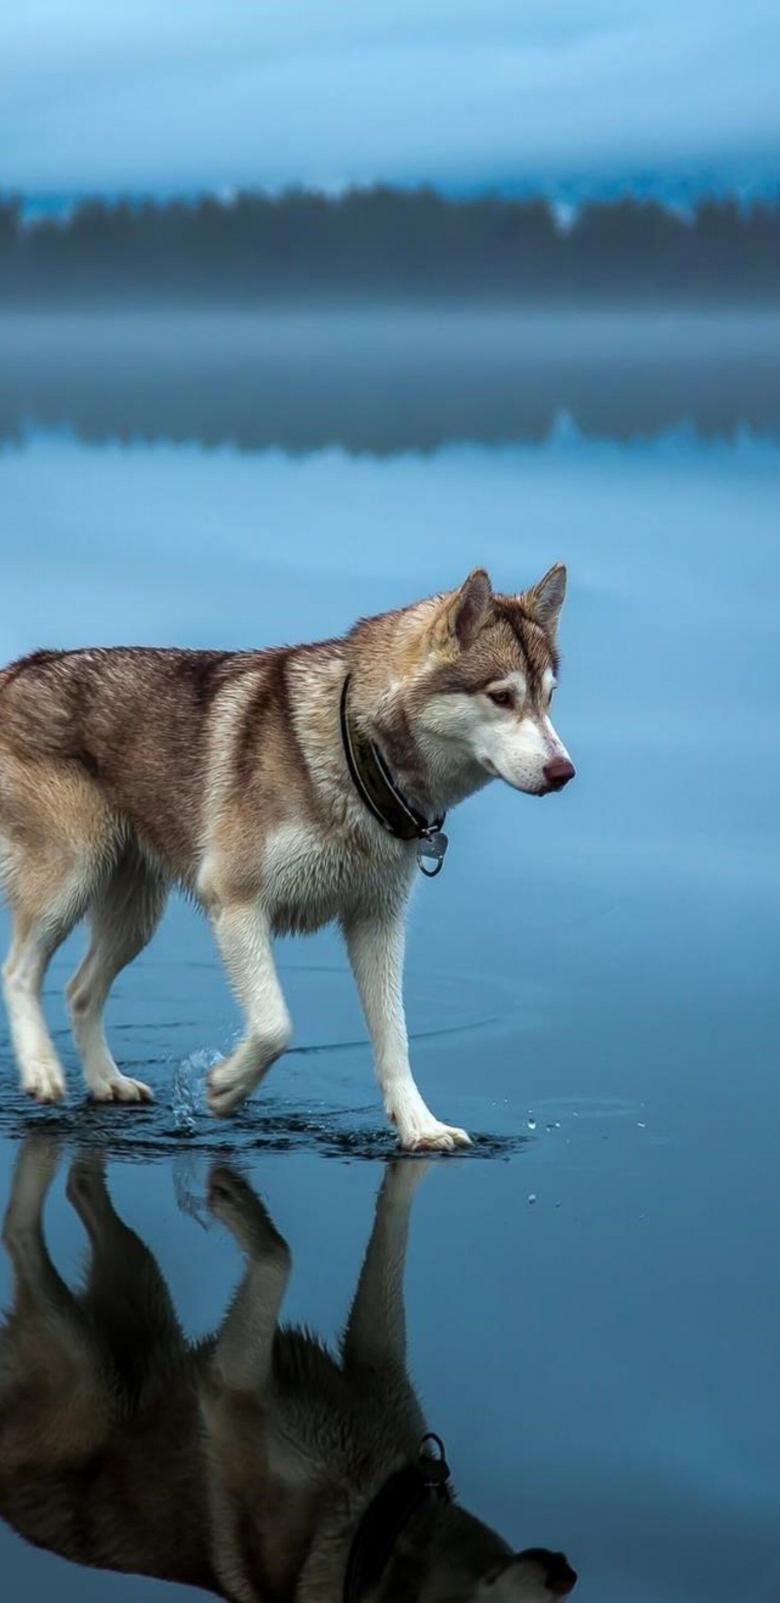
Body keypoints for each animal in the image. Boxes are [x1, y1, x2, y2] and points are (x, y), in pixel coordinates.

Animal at [0, 570, 573, 1147]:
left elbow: (395, 1038)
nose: (564, 771)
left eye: (548, 699)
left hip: (135, 915)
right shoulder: (236, 904)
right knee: (19, 971)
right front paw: (227, 1087)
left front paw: (419, 1126)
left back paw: (105, 1081)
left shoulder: (377, 922)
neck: (357, 753)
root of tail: (23, 666)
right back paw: (42, 1070)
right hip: (70, 879)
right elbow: (276, 1026)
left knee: (79, 991)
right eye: (501, 697)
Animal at [0, 1134, 573, 1596]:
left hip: (140, 1289)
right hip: (91, 1368)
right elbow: (280, 1255)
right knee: (18, 1232)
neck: (378, 1520)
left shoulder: (371, 1360)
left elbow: (388, 1233)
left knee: (80, 1190)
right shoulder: (233, 1382)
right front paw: (234, 1203)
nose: (568, 1575)